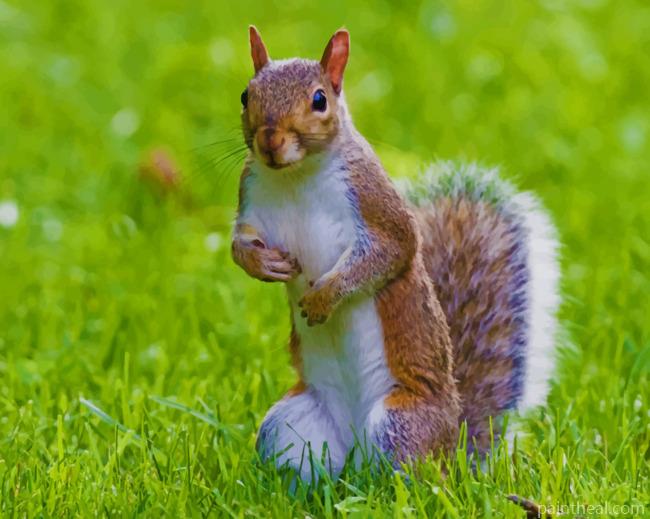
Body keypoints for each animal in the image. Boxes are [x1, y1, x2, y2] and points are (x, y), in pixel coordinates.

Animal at [232, 26, 560, 482]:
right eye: (246, 95)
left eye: (319, 99)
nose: (270, 141)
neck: (295, 175)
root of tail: (452, 449)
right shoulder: (250, 200)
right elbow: (239, 245)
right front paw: (264, 265)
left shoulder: (375, 204)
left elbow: (389, 254)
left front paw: (322, 298)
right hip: (289, 426)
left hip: (399, 423)